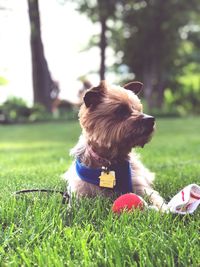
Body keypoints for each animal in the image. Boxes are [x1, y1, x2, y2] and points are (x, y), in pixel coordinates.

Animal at [64, 80, 167, 213]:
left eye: (139, 109)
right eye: (121, 110)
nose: (151, 119)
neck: (109, 161)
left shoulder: (138, 184)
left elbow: (154, 197)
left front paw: (162, 210)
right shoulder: (80, 193)